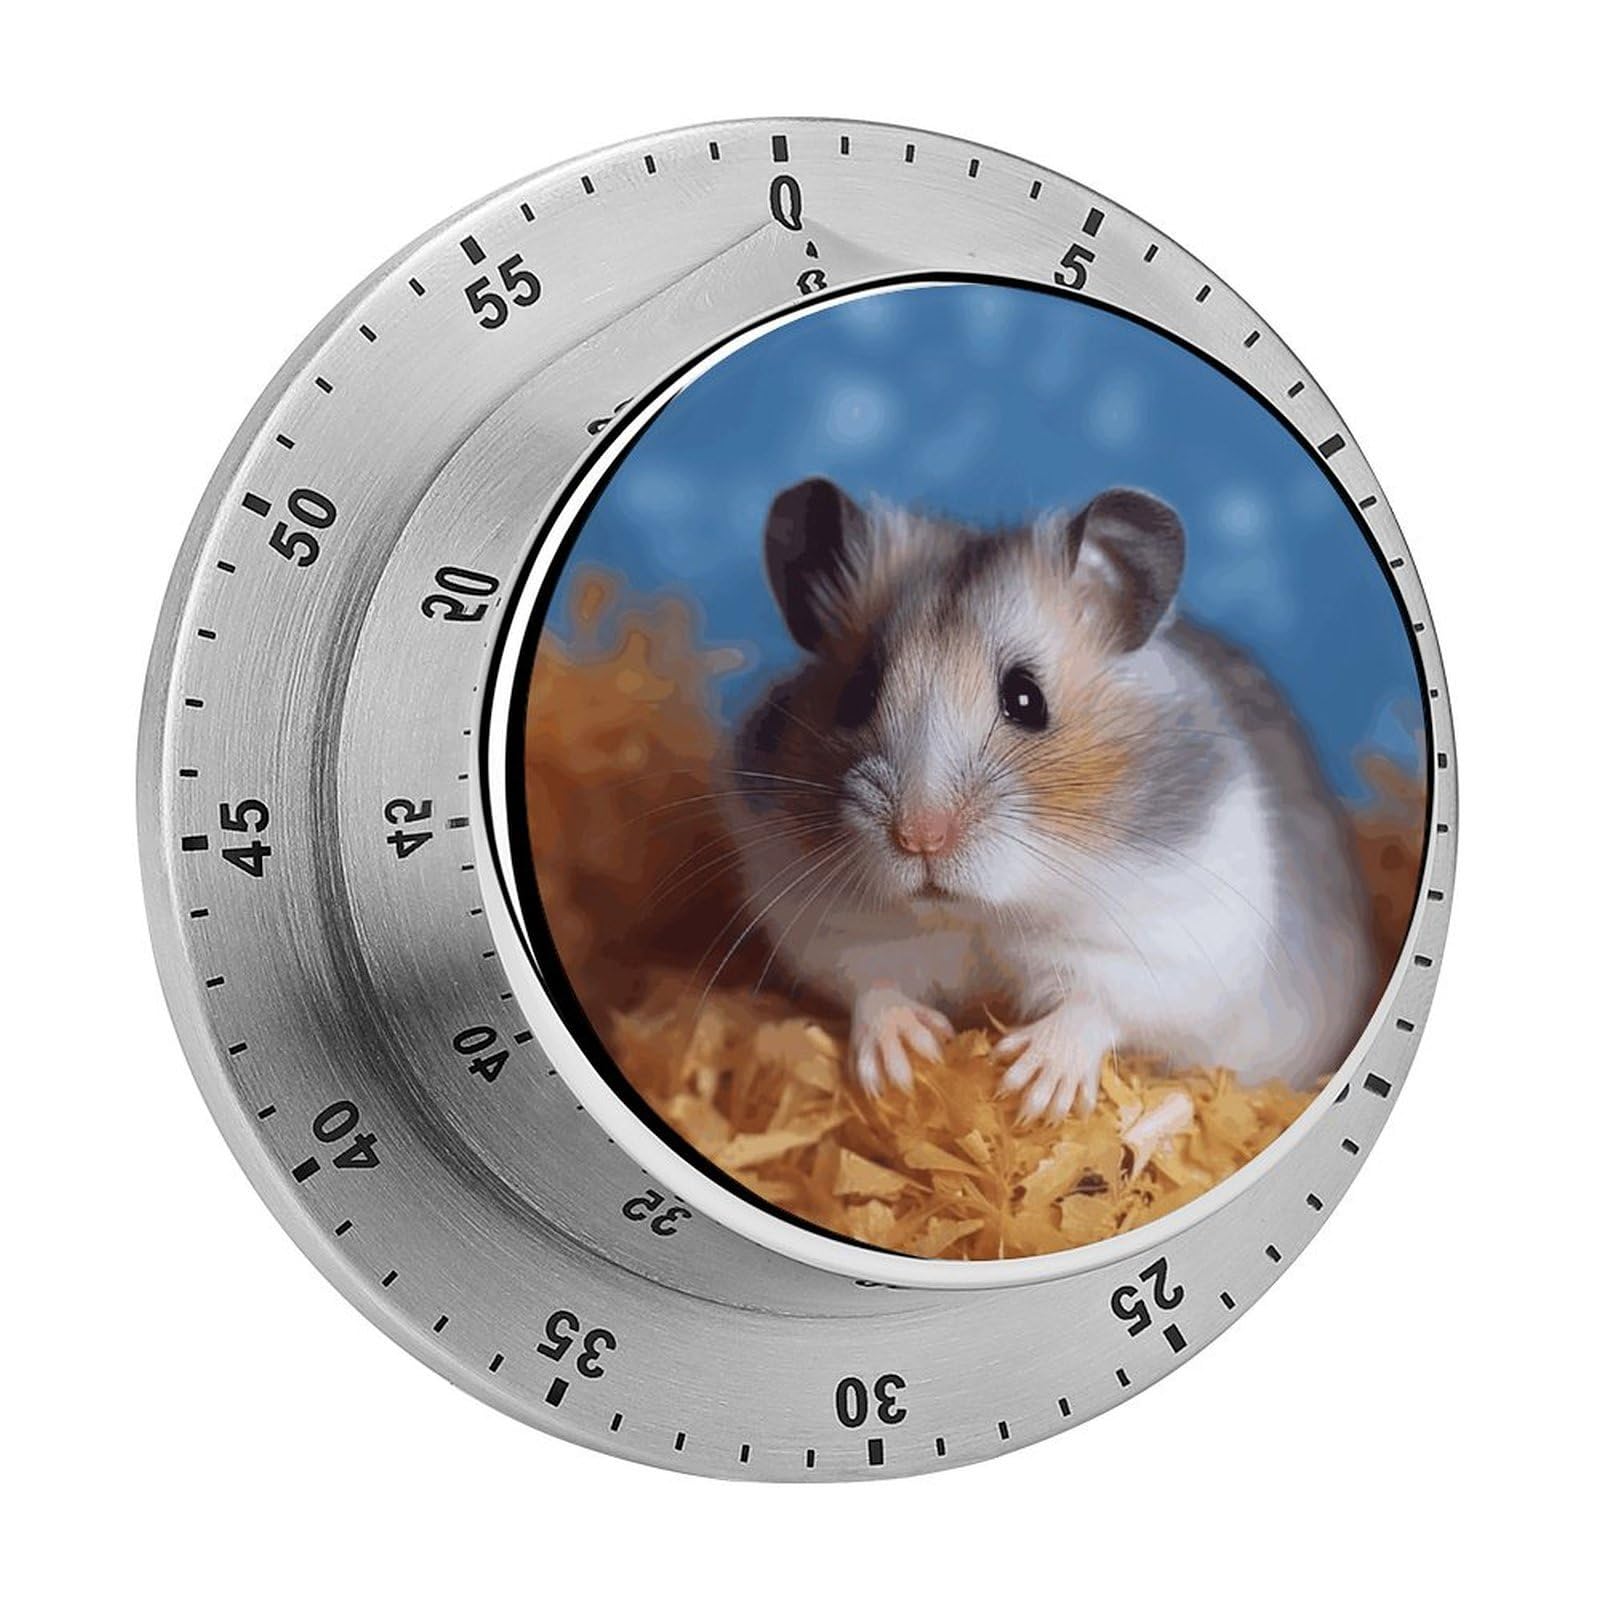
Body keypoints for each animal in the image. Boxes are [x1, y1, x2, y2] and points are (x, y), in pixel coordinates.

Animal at [724, 477, 1377, 1122]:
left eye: (1025, 699)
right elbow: (869, 983)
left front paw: (1031, 1086)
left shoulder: (1174, 935)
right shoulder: (822, 916)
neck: (986, 913)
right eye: (857, 696)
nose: (920, 838)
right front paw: (902, 1065)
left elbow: (1101, 1003)